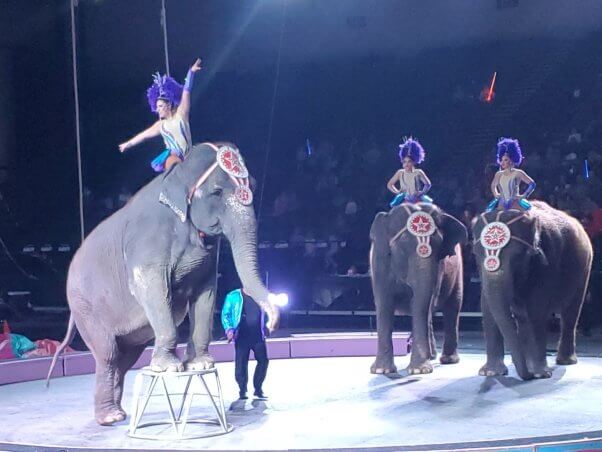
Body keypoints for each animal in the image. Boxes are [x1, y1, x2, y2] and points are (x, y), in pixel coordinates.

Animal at [47, 143, 278, 426]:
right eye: (217, 192)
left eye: (252, 186)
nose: (272, 323)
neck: (176, 175)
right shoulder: (146, 244)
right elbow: (151, 288)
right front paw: (169, 368)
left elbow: (206, 291)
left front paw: (200, 364)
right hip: (86, 310)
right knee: (108, 354)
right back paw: (110, 417)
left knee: (125, 358)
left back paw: (120, 412)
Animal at [366, 203, 468, 376]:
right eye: (404, 242)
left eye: (439, 244)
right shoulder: (379, 262)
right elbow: (384, 304)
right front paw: (381, 370)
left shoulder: (438, 267)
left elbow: (421, 303)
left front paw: (419, 371)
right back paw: (432, 356)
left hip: (458, 271)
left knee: (452, 307)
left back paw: (447, 359)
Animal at [468, 200, 592, 380]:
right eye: (476, 255)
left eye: (518, 258)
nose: (527, 376)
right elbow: (487, 307)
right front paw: (490, 373)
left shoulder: (549, 259)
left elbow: (536, 309)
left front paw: (541, 374)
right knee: (523, 317)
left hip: (584, 271)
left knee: (571, 312)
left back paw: (564, 362)